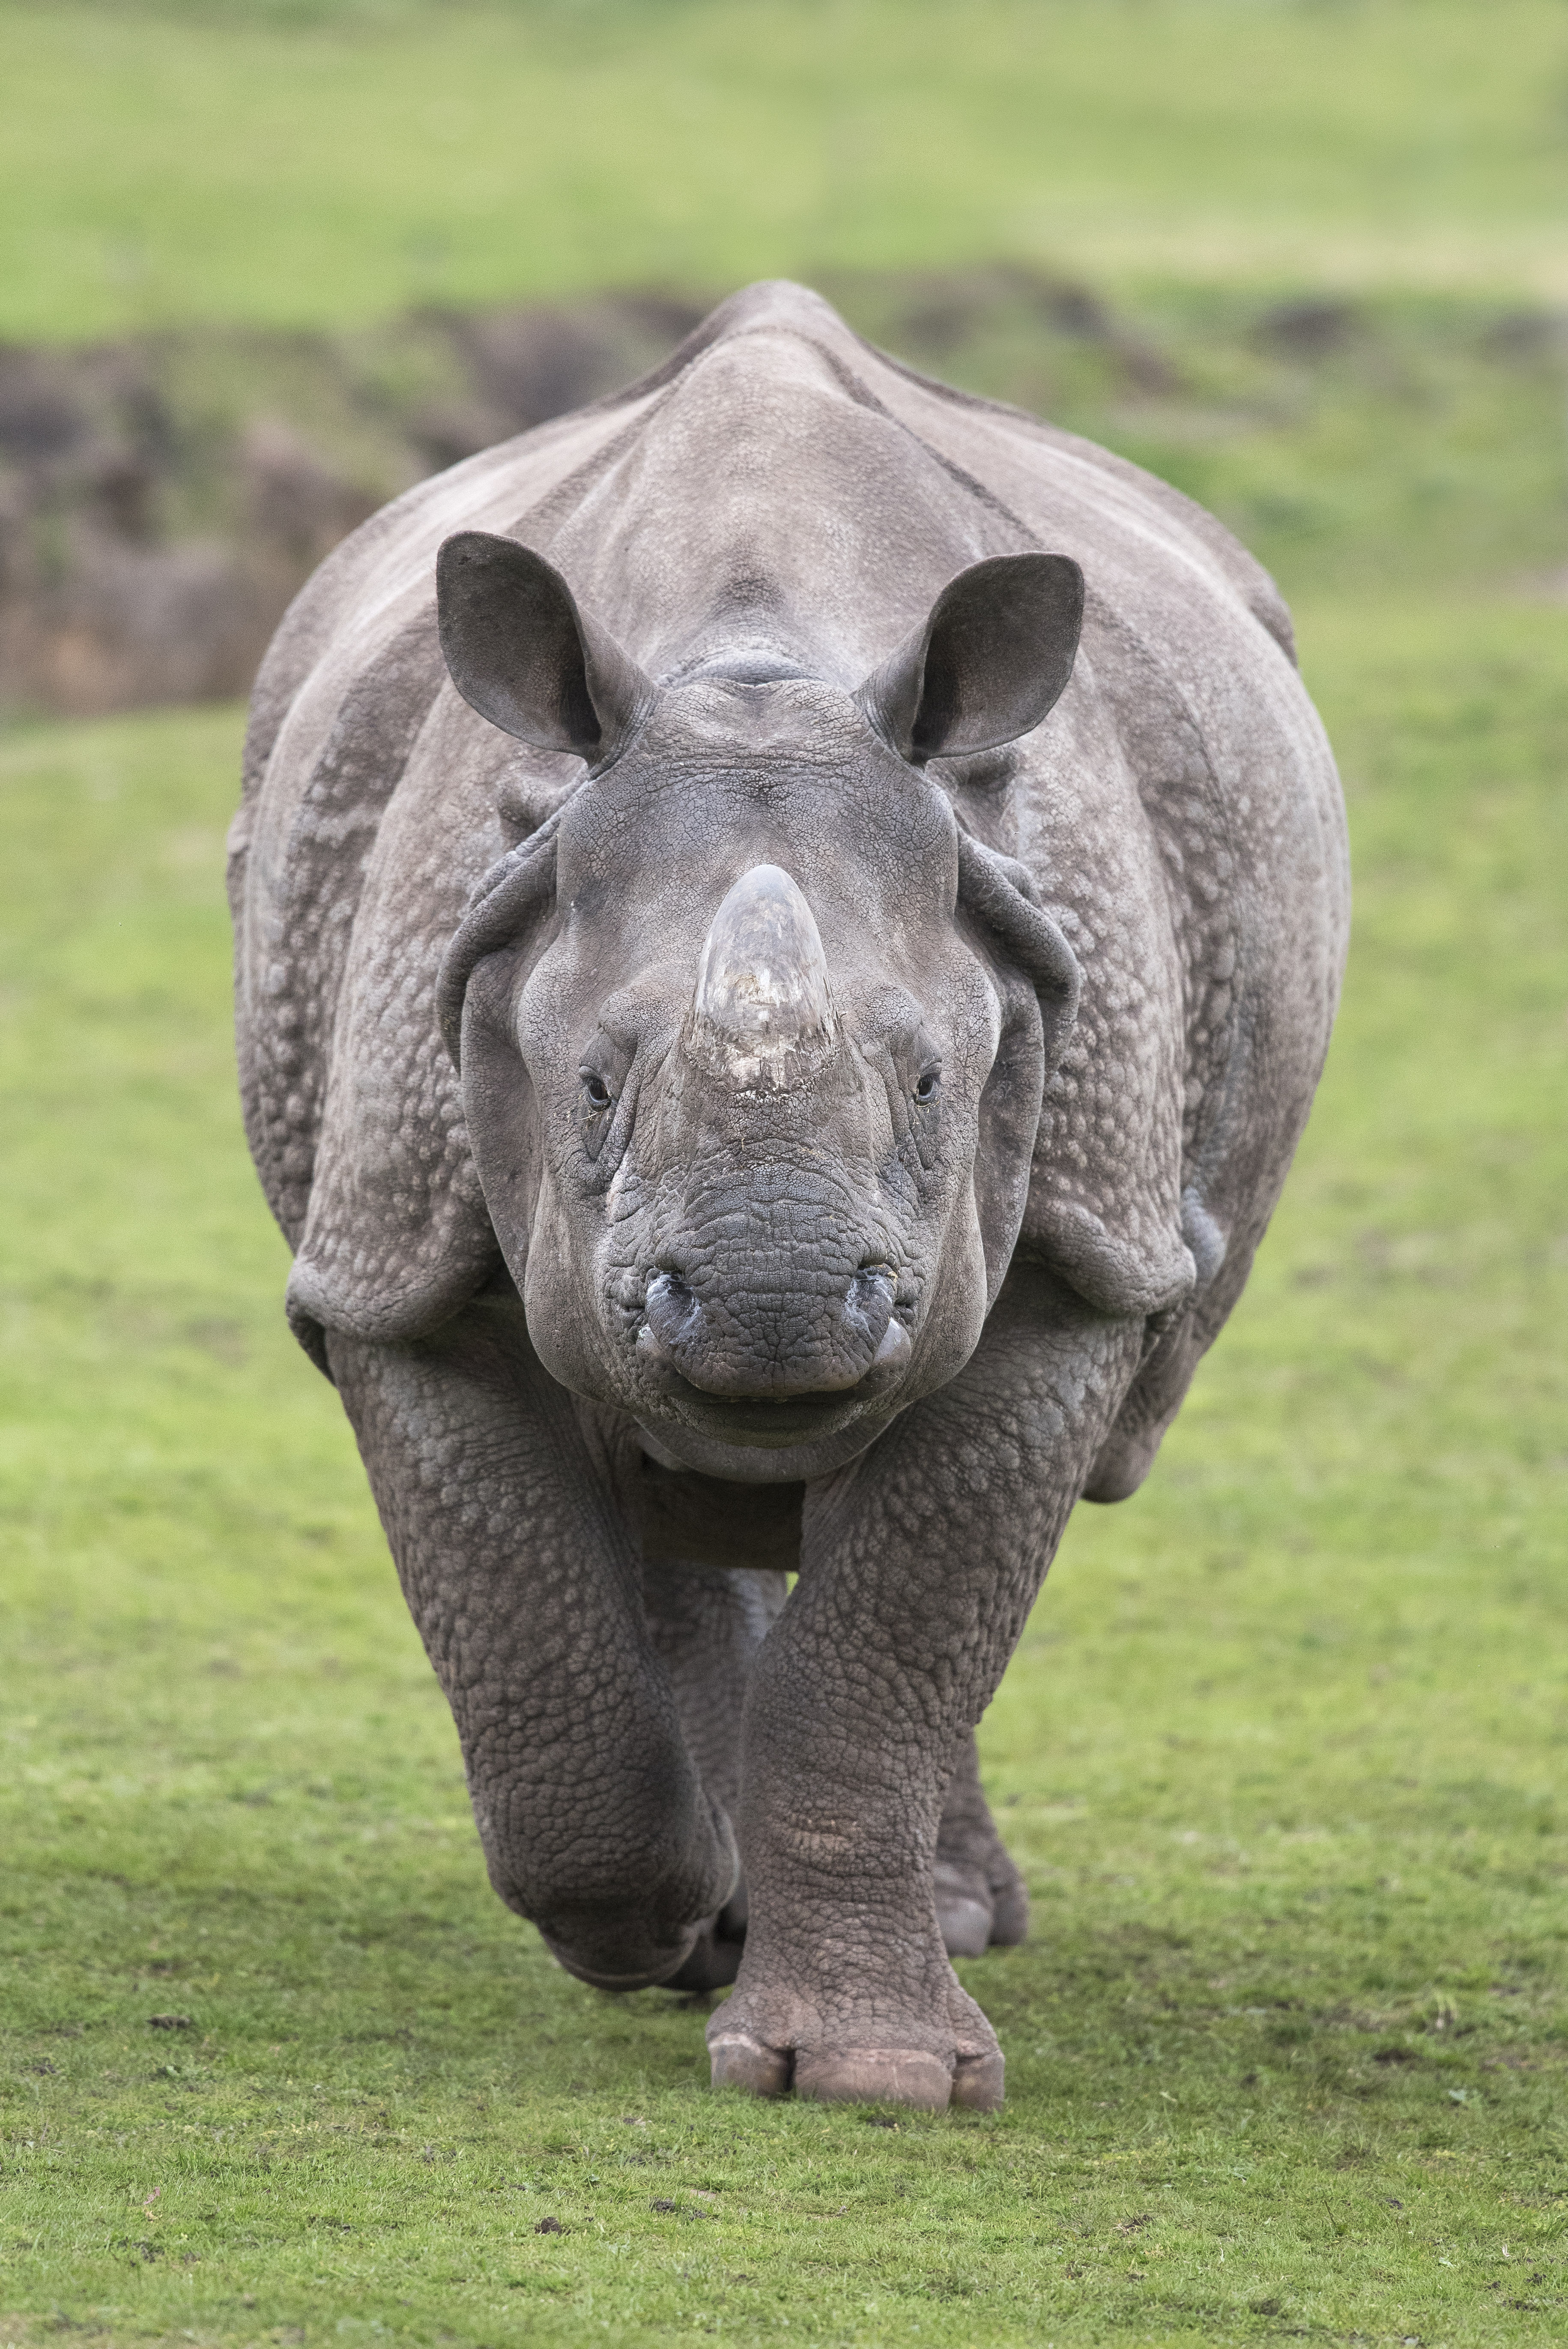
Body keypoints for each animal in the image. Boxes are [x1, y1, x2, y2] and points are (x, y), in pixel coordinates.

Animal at [230, 281, 1348, 2112]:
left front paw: (875, 2078)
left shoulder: (1082, 1243)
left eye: (932, 1085)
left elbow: (894, 1645)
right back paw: (719, 1918)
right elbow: (527, 1630)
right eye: (591, 1087)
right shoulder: (392, 1241)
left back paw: (943, 1920)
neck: (755, 663)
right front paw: (664, 1922)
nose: (776, 1307)